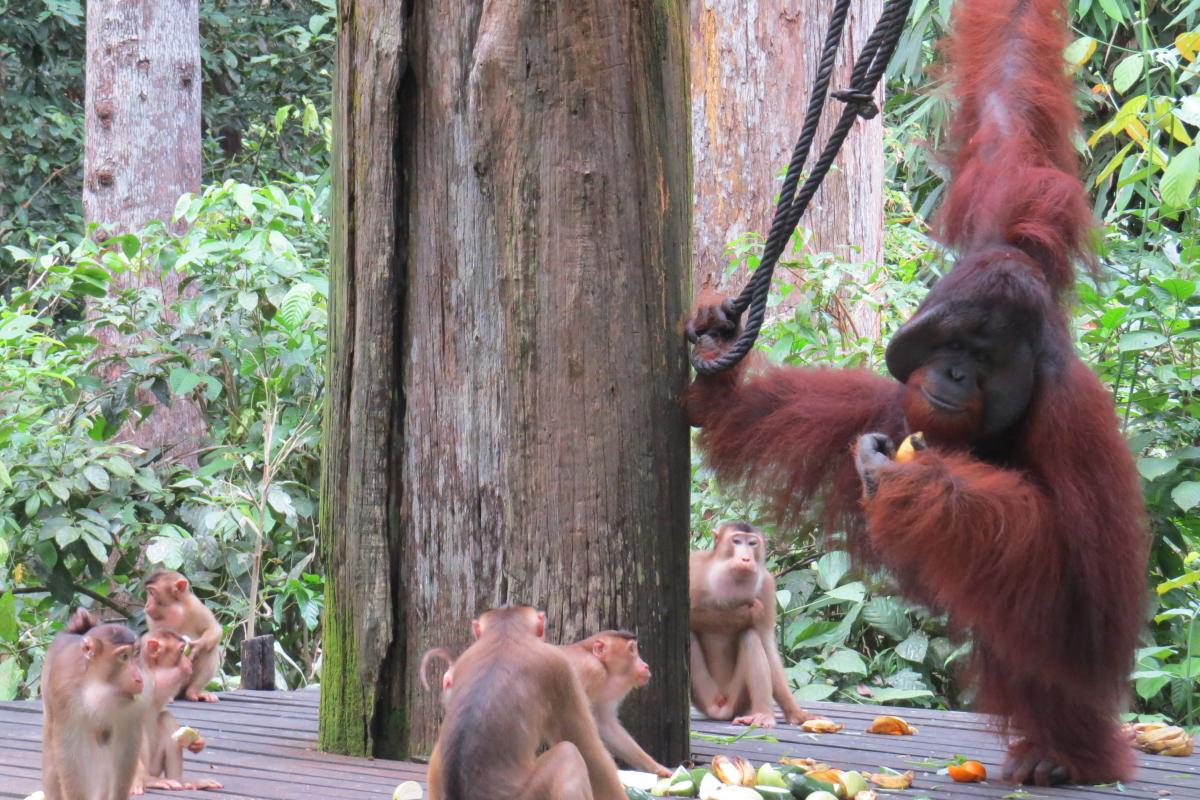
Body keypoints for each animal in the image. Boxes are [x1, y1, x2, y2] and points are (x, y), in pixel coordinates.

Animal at [41, 609, 145, 800]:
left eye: (136, 654)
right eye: (123, 657)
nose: (139, 678)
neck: (96, 683)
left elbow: (126, 745)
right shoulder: (65, 693)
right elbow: (69, 751)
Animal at [130, 630, 223, 794]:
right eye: (181, 651)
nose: (188, 661)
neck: (151, 674)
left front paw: (198, 743)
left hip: (154, 766)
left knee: (166, 718)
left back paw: (183, 781)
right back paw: (148, 780)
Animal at [144, 569, 223, 702]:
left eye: (151, 593)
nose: (146, 605)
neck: (173, 607)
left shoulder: (195, 605)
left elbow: (213, 628)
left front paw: (198, 646)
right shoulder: (151, 618)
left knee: (210, 649)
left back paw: (193, 691)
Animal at [689, 522, 810, 727]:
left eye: (752, 543)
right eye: (737, 541)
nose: (746, 558)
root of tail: (721, 711)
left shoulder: (767, 586)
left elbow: (767, 645)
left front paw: (797, 713)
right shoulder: (694, 567)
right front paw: (743, 614)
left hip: (737, 700)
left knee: (751, 636)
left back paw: (763, 714)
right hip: (703, 695)